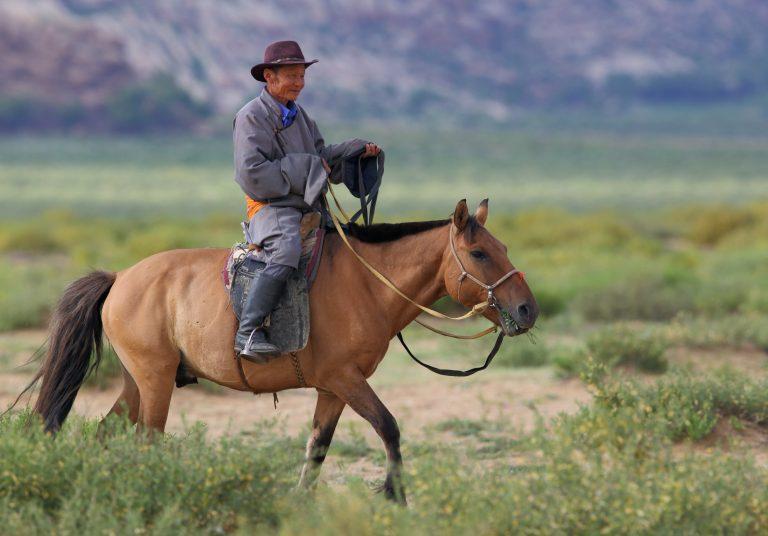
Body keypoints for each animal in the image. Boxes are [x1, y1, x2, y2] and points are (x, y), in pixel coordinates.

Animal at [26, 198, 538, 504]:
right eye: (479, 254)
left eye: (503, 246)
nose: (527, 309)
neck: (366, 283)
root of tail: (119, 279)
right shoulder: (346, 379)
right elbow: (389, 428)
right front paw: (396, 498)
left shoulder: (333, 389)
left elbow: (317, 450)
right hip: (154, 383)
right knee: (145, 440)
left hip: (138, 382)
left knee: (105, 433)